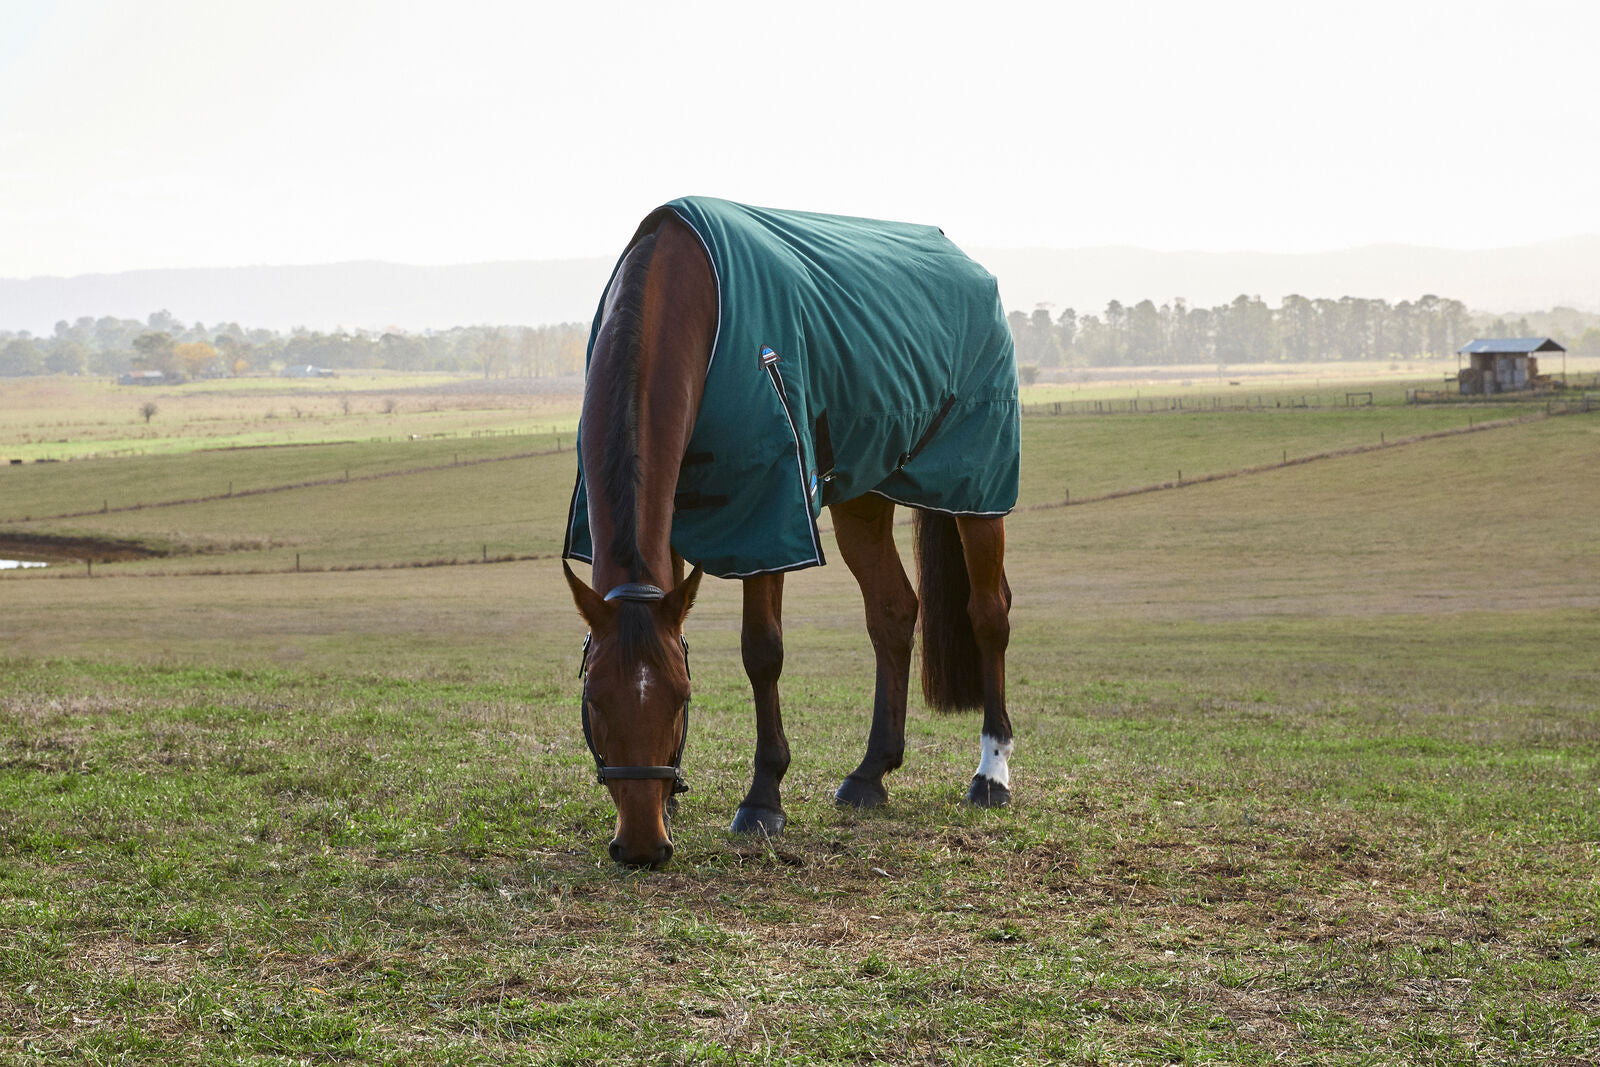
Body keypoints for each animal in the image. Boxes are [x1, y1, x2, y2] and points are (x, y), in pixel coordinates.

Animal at [562, 198, 1019, 868]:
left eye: (682, 697)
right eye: (594, 701)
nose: (643, 844)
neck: (686, 289)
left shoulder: (770, 512)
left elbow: (762, 651)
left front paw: (762, 799)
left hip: (976, 488)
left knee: (989, 612)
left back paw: (991, 773)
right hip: (862, 493)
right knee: (892, 611)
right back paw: (870, 774)